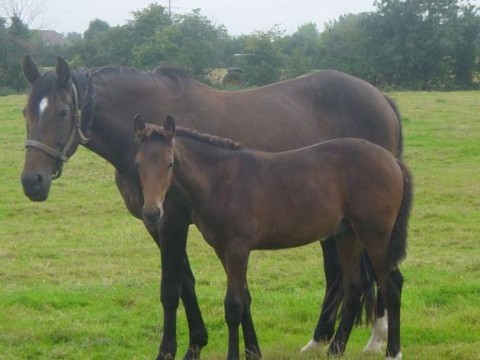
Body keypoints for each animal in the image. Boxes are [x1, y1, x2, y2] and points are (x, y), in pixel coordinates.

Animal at [134, 115, 412, 360]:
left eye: (170, 163)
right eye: (138, 164)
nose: (152, 212)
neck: (220, 181)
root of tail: (392, 160)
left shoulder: (238, 248)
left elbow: (233, 306)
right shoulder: (223, 249)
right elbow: (243, 300)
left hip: (376, 236)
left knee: (391, 284)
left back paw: (393, 352)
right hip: (347, 235)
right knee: (355, 284)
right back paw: (335, 350)